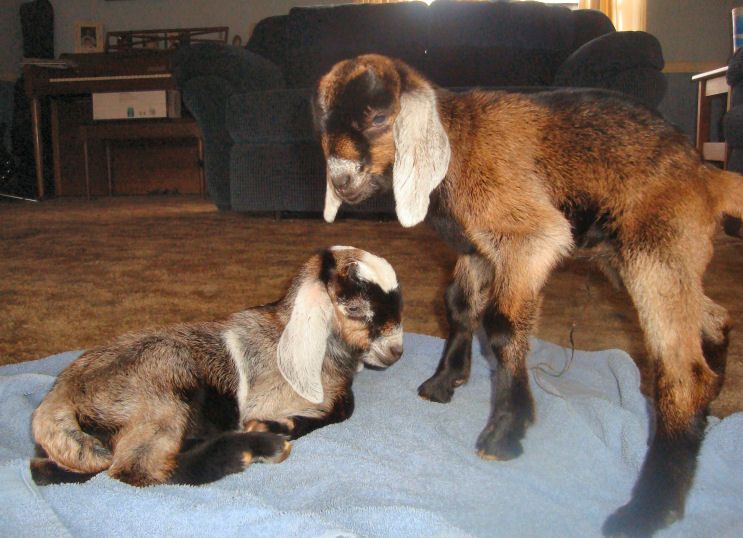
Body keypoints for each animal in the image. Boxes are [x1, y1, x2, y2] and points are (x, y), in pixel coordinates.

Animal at [30, 246, 403, 486]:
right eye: (354, 308)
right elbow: (342, 408)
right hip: (165, 388)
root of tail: (63, 393)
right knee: (138, 470)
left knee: (45, 468)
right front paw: (276, 426)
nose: (396, 351)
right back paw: (252, 449)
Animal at [313, 54, 743, 537]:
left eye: (378, 117)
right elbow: (459, 307)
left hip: (656, 249)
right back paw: (708, 407)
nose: (341, 181)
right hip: (632, 257)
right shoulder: (477, 250)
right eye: (323, 120)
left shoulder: (531, 239)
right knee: (715, 318)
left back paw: (648, 508)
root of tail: (706, 176)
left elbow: (501, 325)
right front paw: (445, 382)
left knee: (683, 372)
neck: (457, 139)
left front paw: (505, 431)